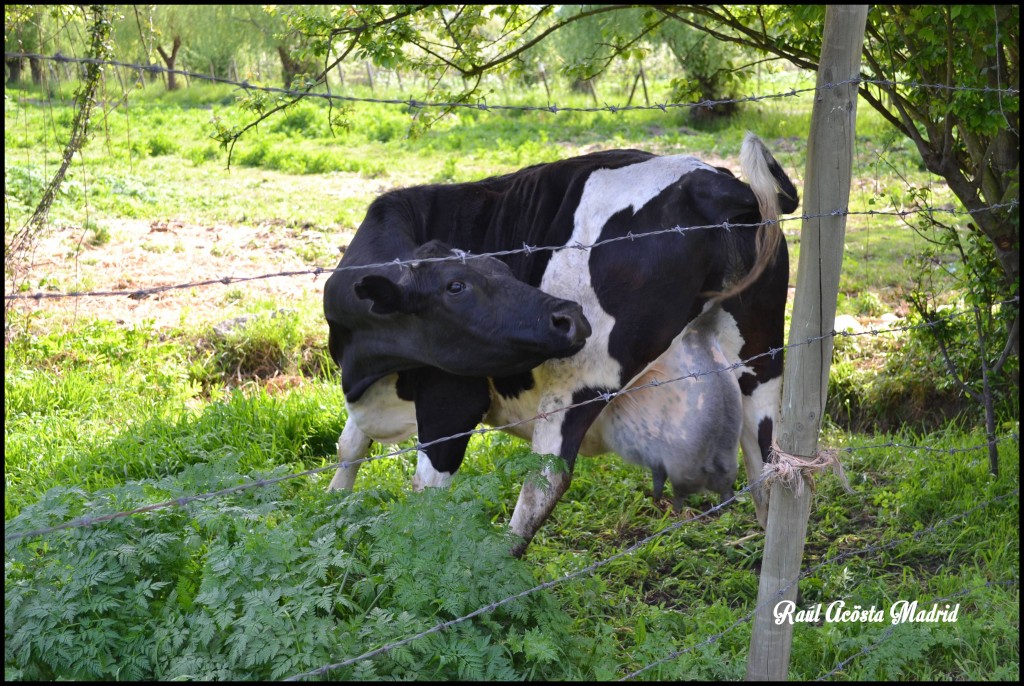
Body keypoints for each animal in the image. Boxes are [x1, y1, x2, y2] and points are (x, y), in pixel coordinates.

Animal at [323, 134, 802, 556]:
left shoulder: (452, 396)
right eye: (456, 285)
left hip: (578, 379)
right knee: (768, 460)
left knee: (546, 478)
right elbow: (348, 447)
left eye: (496, 270)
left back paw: (502, 560)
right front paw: (332, 513)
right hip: (761, 358)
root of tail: (714, 183)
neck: (366, 368)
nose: (567, 317)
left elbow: (427, 491)